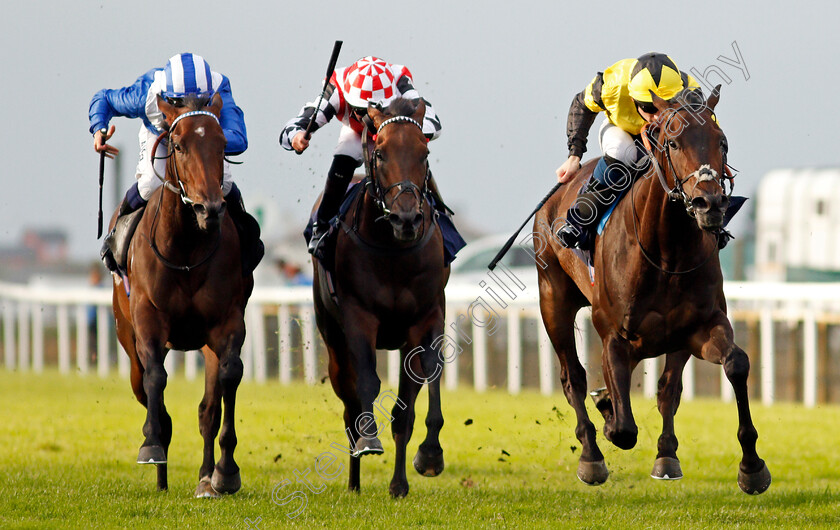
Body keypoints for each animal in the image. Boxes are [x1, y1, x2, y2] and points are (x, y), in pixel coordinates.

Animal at [108, 92, 253, 496]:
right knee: (144, 386)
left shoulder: (226, 323)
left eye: (222, 144)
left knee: (207, 409)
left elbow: (227, 381)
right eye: (178, 145)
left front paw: (225, 471)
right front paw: (151, 446)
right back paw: (160, 475)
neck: (186, 250)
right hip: (126, 336)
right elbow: (156, 380)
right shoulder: (147, 321)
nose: (210, 208)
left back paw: (205, 478)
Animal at [312, 97, 450, 498]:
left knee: (403, 410)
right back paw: (354, 480)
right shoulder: (360, 318)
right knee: (349, 403)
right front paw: (369, 439)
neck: (393, 249)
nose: (406, 219)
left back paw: (398, 484)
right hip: (333, 339)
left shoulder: (428, 317)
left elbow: (426, 380)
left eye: (424, 152)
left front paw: (430, 455)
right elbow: (368, 383)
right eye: (382, 153)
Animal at [536, 85, 772, 490]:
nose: (709, 203)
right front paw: (608, 416)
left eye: (721, 141)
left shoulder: (697, 328)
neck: (667, 253)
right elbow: (623, 429)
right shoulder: (614, 336)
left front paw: (750, 465)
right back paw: (591, 456)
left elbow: (729, 366)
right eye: (673, 142)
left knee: (659, 388)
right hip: (554, 303)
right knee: (574, 380)